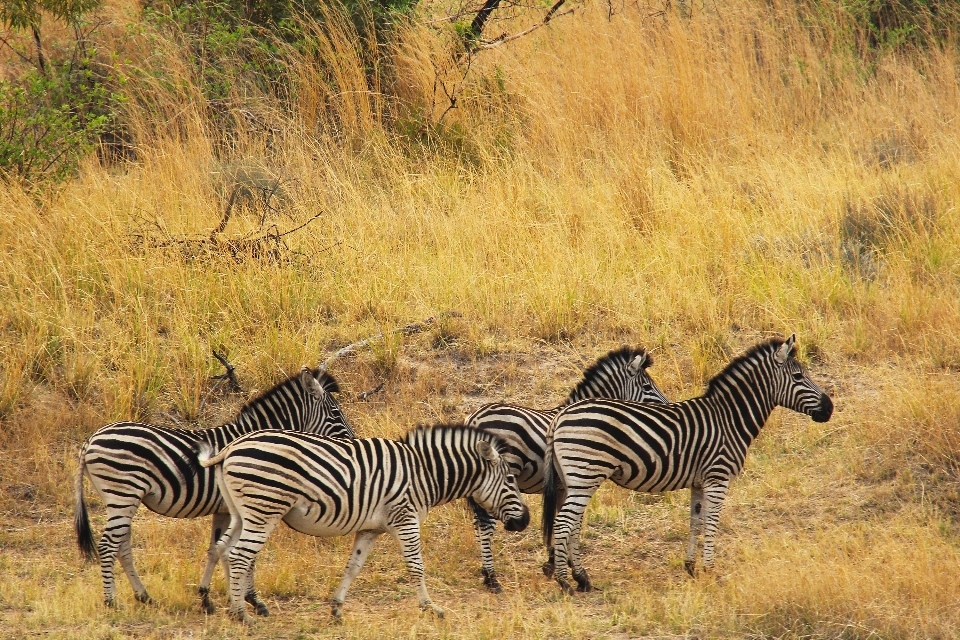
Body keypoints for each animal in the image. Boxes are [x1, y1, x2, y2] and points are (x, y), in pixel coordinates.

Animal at [73, 362, 354, 612]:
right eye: (335, 413)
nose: (352, 441)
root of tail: (92, 439)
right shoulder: (247, 505)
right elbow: (242, 555)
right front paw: (251, 600)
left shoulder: (224, 510)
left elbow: (215, 551)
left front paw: (212, 598)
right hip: (123, 493)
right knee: (109, 545)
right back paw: (112, 601)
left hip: (120, 499)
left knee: (122, 547)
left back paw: (144, 596)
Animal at [192, 422, 528, 624]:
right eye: (511, 480)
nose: (524, 521)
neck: (424, 472)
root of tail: (231, 446)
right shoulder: (405, 519)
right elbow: (416, 566)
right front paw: (430, 607)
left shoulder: (370, 528)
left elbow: (353, 567)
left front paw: (337, 608)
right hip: (264, 508)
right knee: (240, 556)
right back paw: (242, 614)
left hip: (241, 512)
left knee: (224, 551)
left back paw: (228, 605)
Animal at [464, 348, 668, 592]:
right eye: (647, 387)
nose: (667, 407)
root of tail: (475, 417)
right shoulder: (576, 480)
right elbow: (573, 523)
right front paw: (571, 570)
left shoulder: (563, 486)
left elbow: (561, 521)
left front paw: (554, 562)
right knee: (486, 526)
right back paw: (492, 579)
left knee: (478, 525)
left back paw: (486, 573)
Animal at [544, 338, 836, 592]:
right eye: (798, 377)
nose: (829, 408)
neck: (729, 419)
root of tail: (560, 415)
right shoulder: (718, 477)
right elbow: (712, 523)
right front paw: (709, 569)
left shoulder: (699, 481)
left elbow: (696, 522)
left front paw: (691, 567)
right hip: (585, 474)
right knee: (563, 523)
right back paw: (565, 581)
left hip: (576, 479)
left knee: (572, 523)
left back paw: (581, 578)